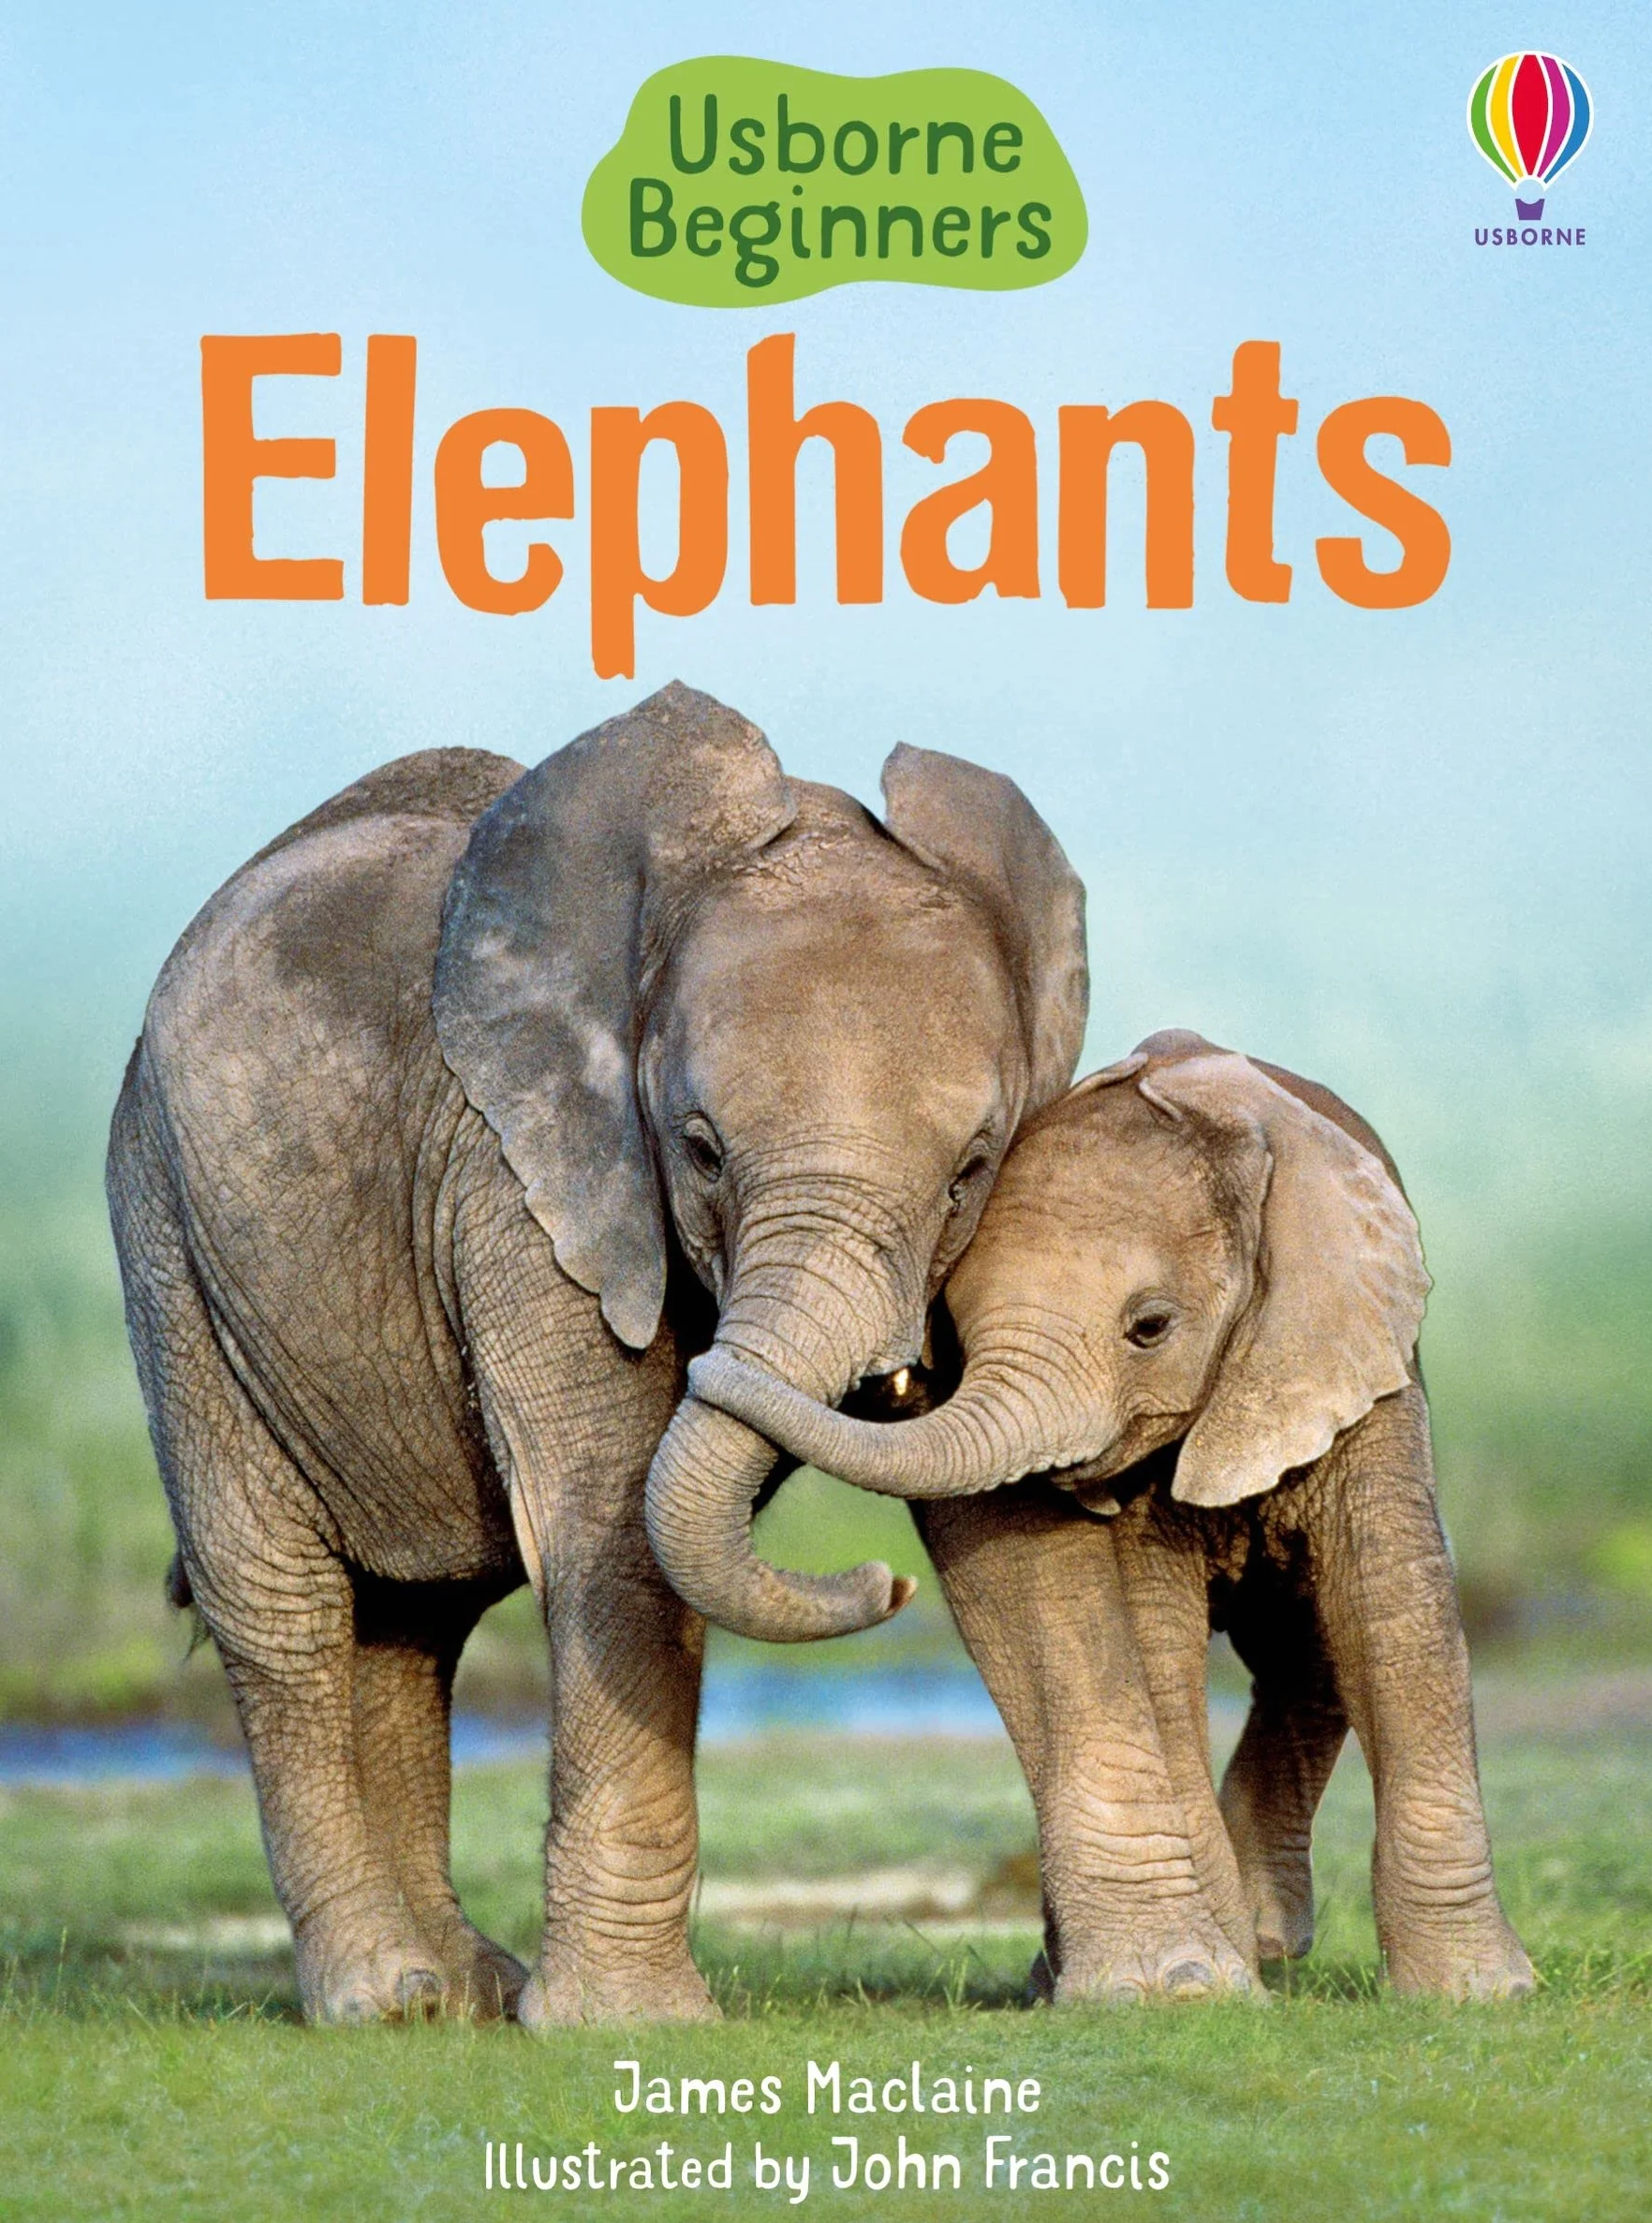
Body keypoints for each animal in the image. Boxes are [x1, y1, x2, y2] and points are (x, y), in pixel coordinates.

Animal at [107, 680, 1240, 2027]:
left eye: (970, 1168)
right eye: (698, 1151)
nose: (879, 1584)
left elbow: (1003, 1523)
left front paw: (1173, 1987)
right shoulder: (524, 1178)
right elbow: (608, 1515)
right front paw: (625, 2023)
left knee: (410, 1617)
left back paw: (465, 1990)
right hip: (168, 1233)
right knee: (281, 1603)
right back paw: (390, 1998)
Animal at [690, 1029, 1537, 2001]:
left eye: (1151, 1327)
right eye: (957, 1329)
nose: (888, 1584)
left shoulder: (1354, 1363)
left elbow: (1389, 1606)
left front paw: (1482, 1994)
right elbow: (1154, 1638)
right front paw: (1201, 1987)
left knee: (1309, 1642)